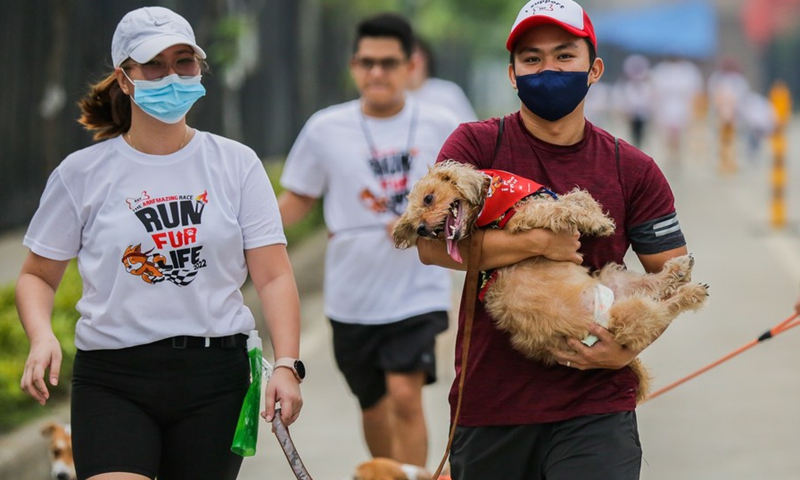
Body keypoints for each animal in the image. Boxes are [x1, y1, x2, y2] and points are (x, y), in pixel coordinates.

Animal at [394, 161, 708, 402]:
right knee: (663, 308)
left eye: (428, 198)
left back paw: (679, 270)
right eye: (414, 213)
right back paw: (691, 292)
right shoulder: (524, 218)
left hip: (615, 278)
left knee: (656, 286)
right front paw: (596, 223)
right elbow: (563, 208)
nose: (420, 229)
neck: (495, 198)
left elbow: (578, 197)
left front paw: (595, 216)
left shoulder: (541, 201)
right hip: (628, 314)